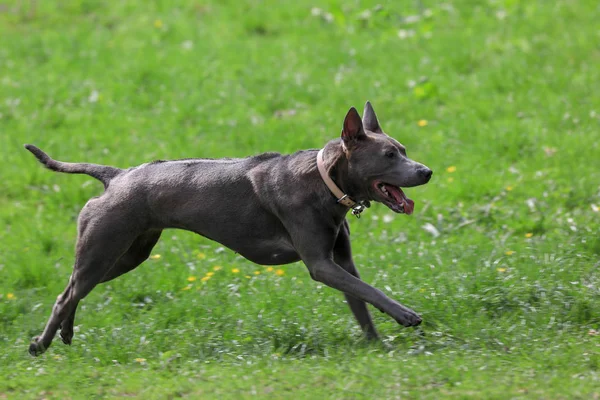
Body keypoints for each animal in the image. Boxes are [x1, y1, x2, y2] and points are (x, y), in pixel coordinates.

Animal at [25, 102, 434, 356]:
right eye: (388, 155)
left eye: (403, 149)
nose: (427, 171)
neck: (324, 181)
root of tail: (115, 175)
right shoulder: (321, 265)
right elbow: (371, 291)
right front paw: (406, 315)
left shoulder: (342, 262)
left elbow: (362, 300)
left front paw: (376, 345)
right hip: (105, 248)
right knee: (67, 294)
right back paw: (40, 344)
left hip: (126, 255)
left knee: (71, 290)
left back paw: (65, 333)